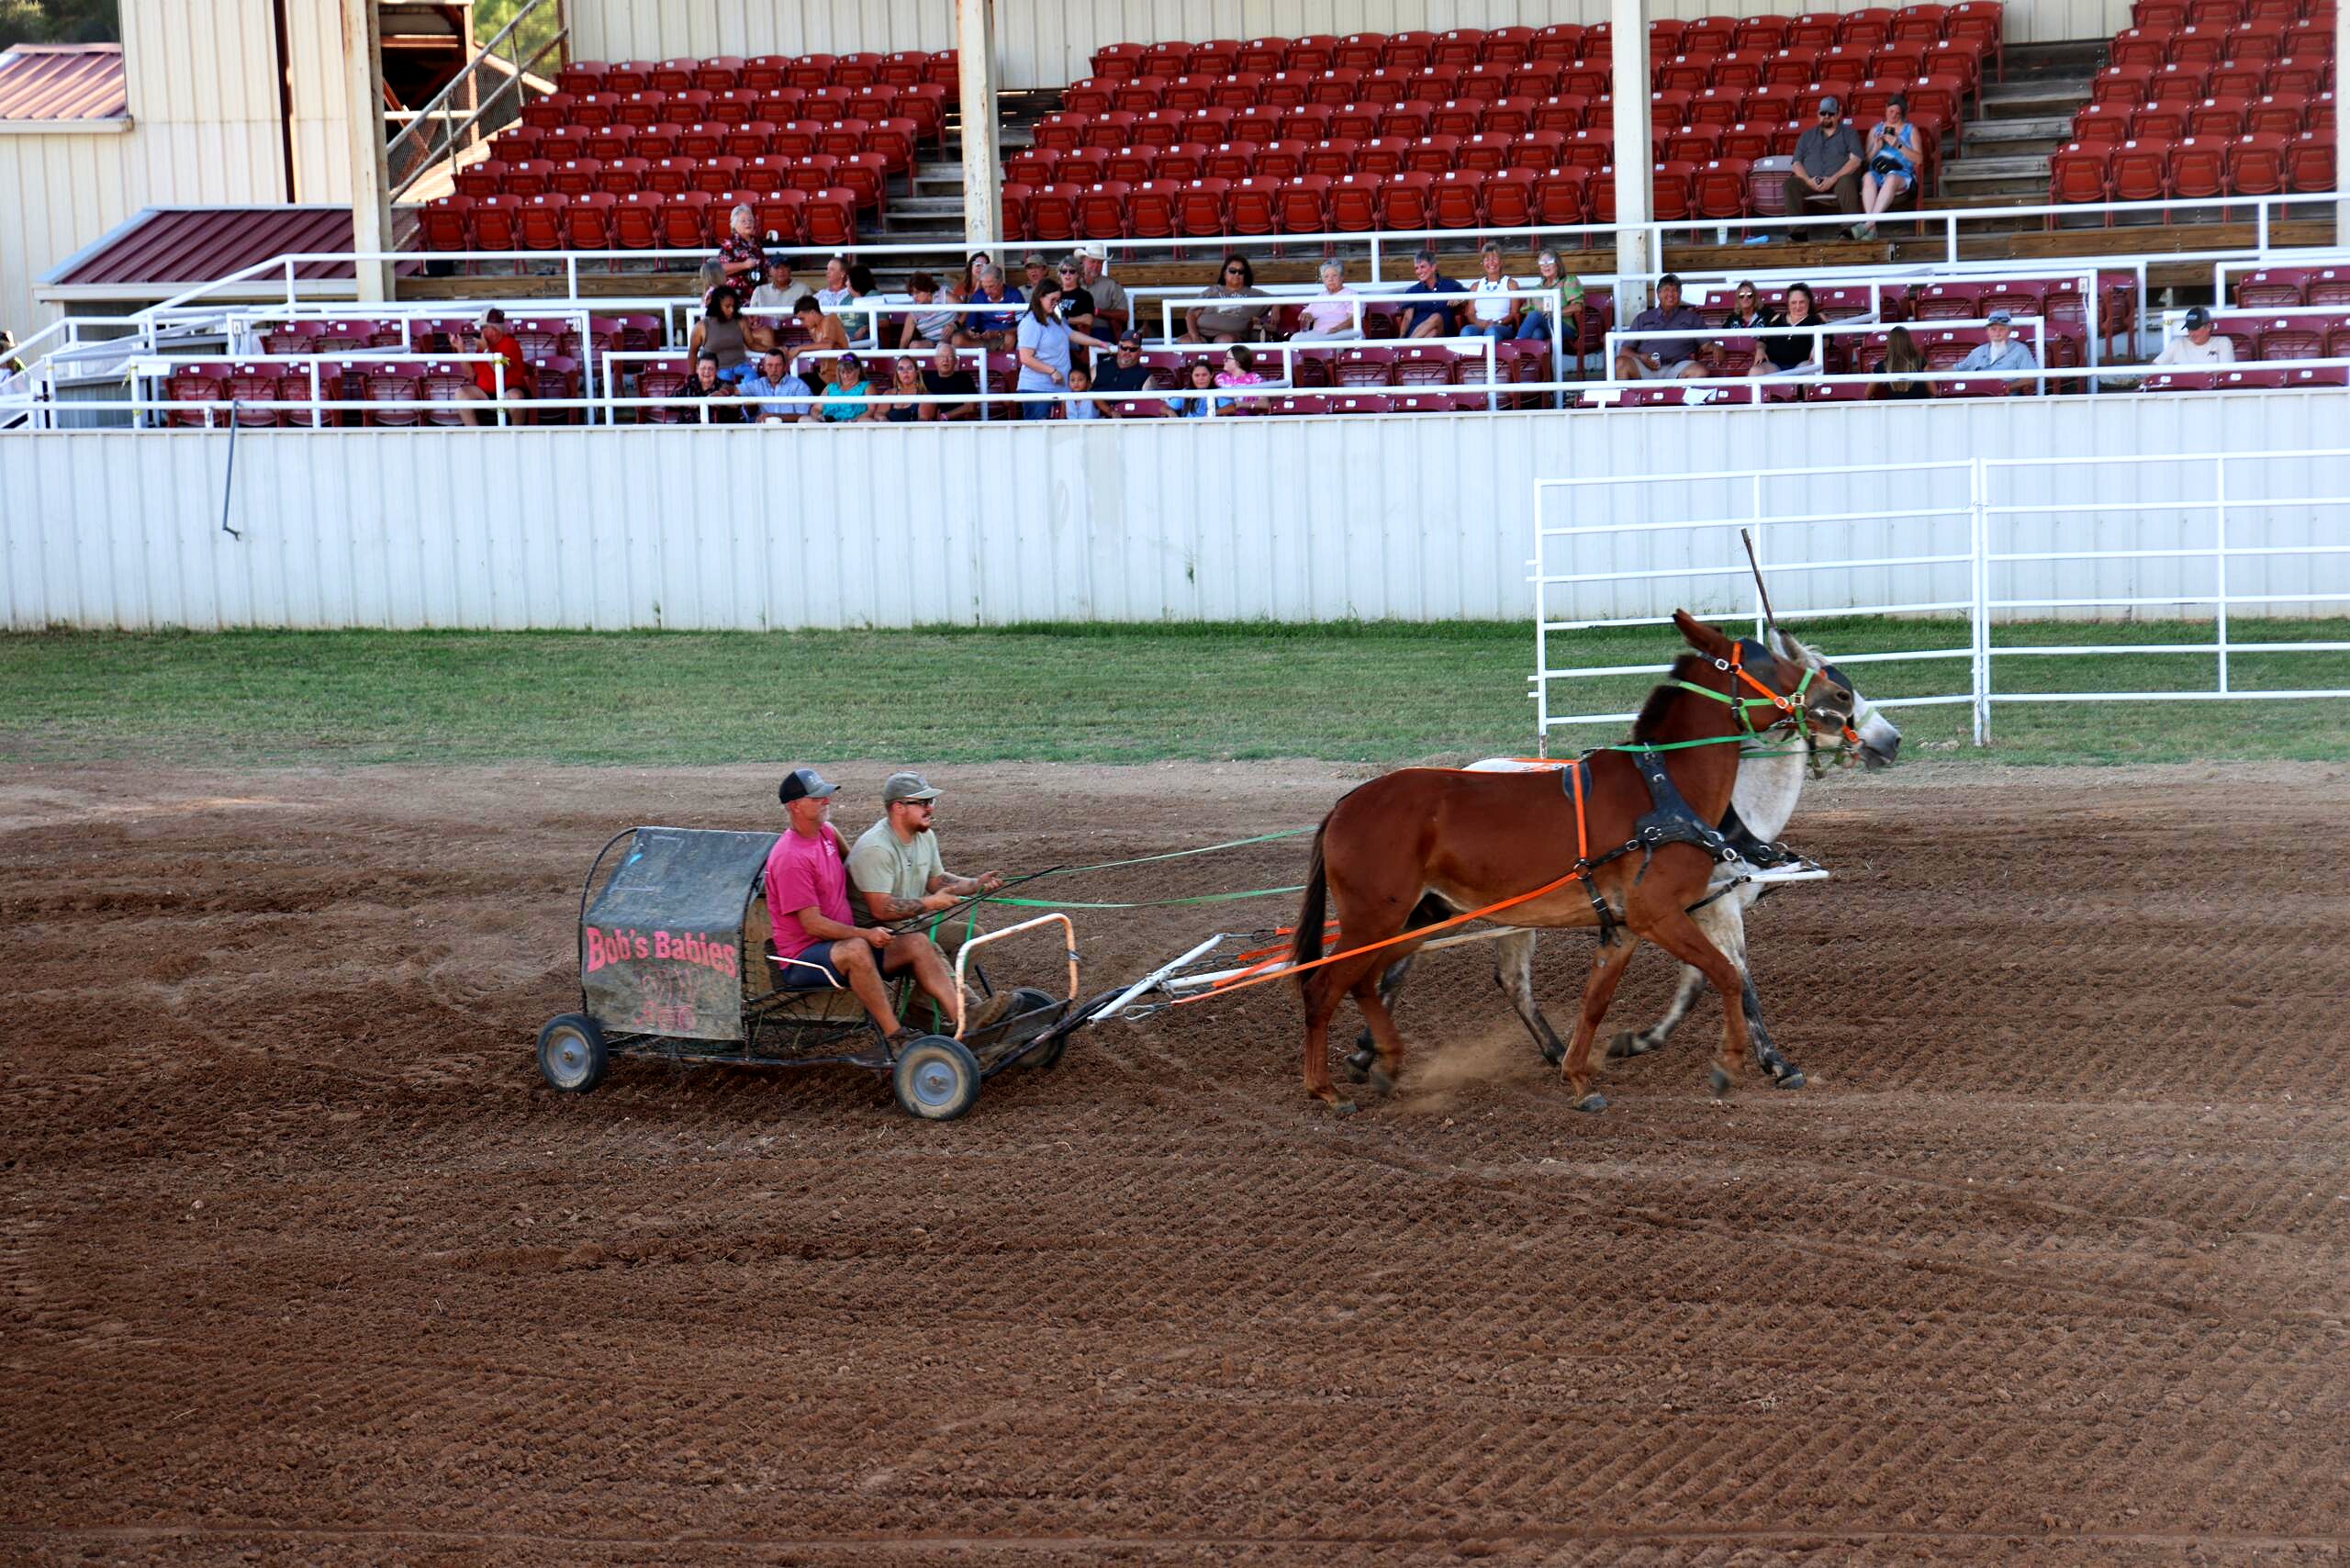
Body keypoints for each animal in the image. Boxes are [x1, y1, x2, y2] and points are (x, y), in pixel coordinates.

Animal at [1289, 611, 1855, 1113]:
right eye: (1766, 664)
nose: (1843, 696)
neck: (1663, 792)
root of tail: (1345, 805)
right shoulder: (1660, 914)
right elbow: (1728, 976)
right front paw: (1732, 1063)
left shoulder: (1626, 926)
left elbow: (1597, 1000)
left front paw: (1580, 1078)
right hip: (1373, 917)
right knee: (1323, 986)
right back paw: (1326, 1089)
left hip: (1416, 915)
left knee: (1363, 982)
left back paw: (1384, 1059)